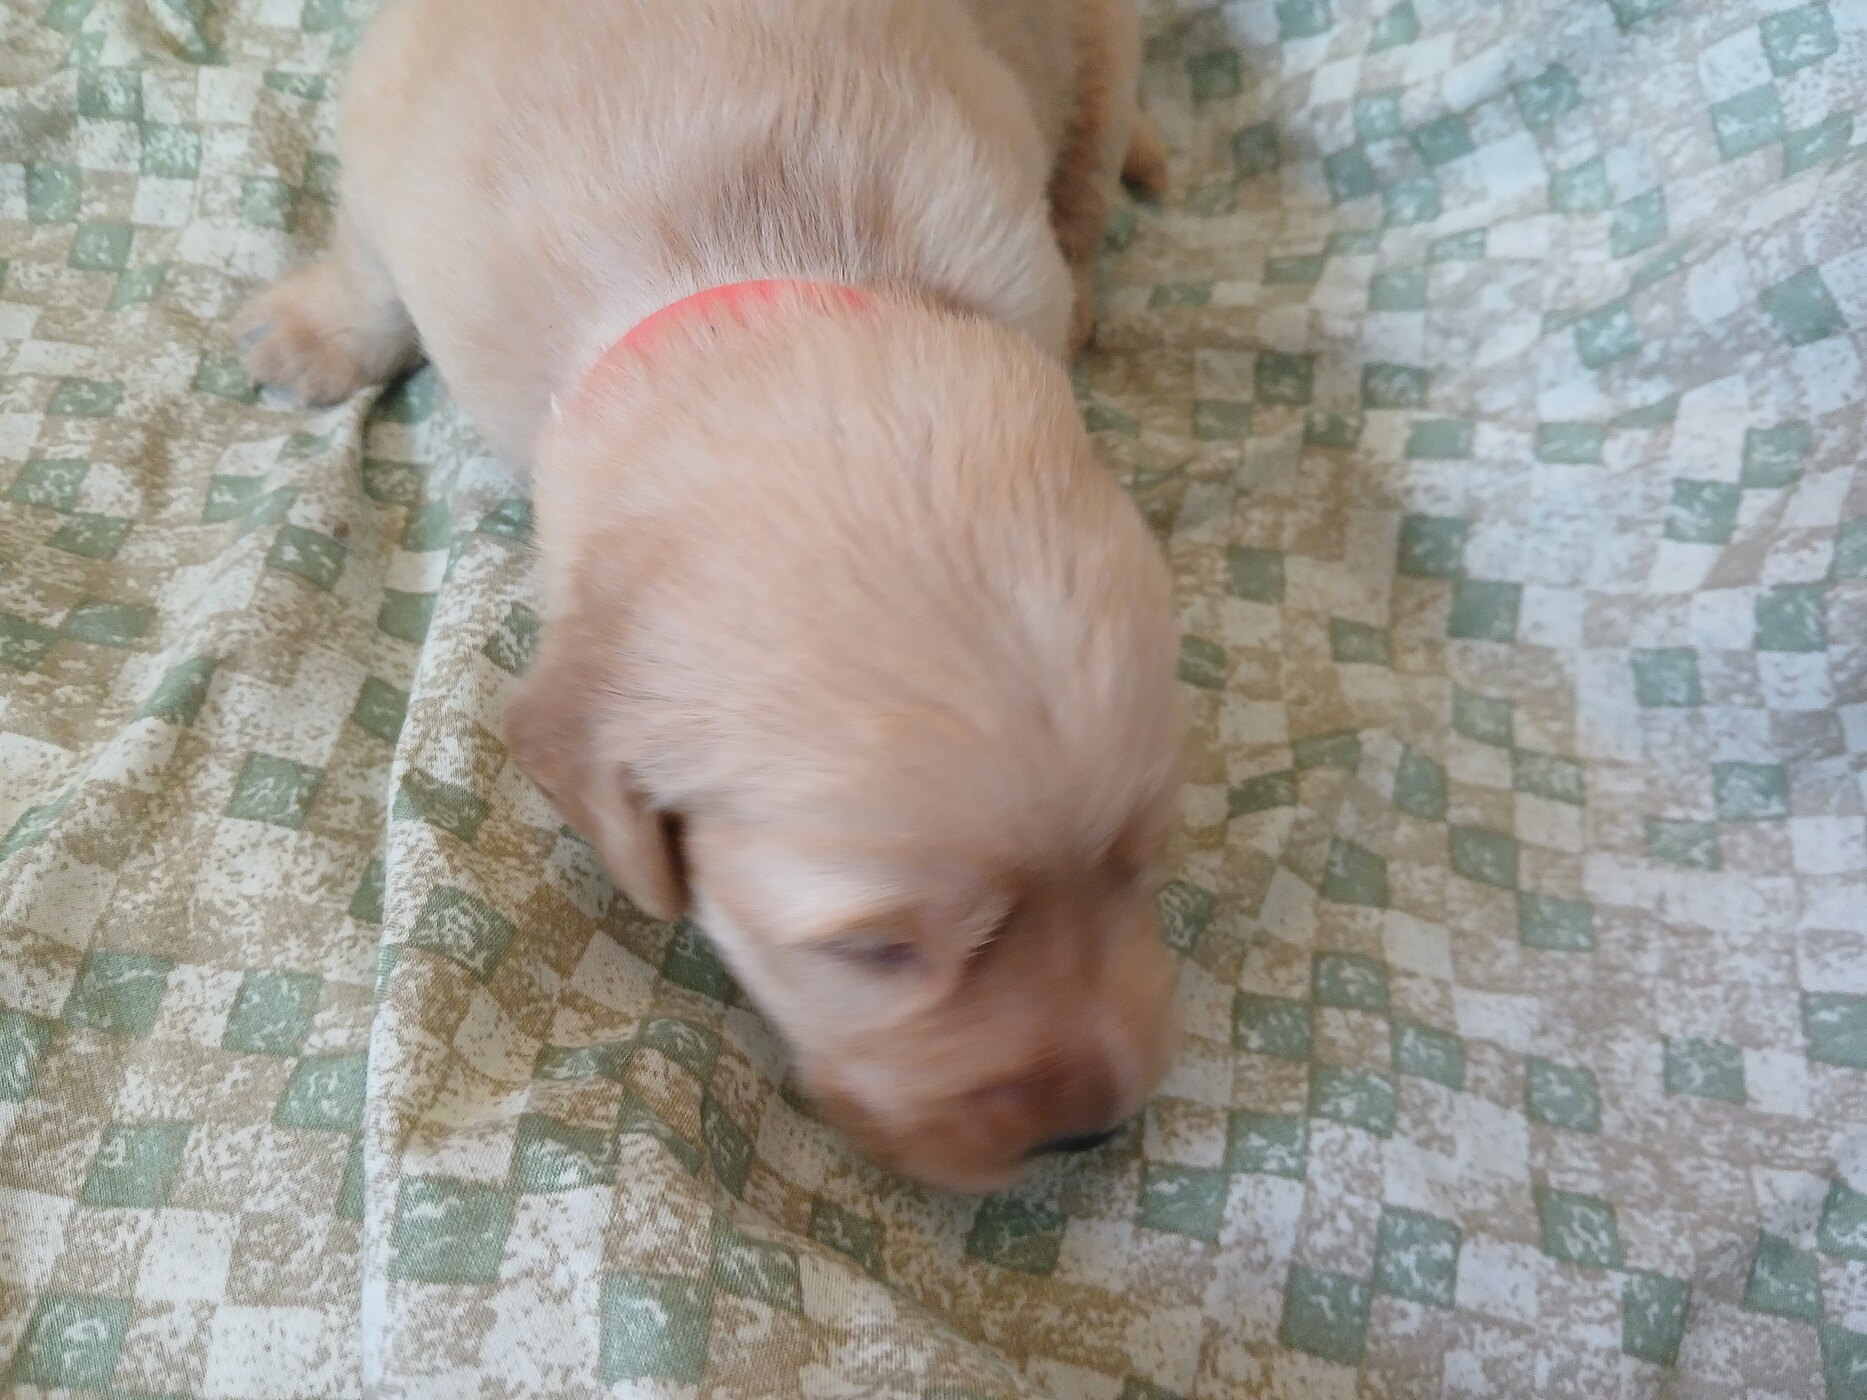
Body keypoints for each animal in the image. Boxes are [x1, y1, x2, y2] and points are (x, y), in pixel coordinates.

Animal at [237, 0, 1183, 1192]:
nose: (1089, 1131)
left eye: (1143, 862)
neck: (747, 259)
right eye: (872, 949)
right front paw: (318, 334)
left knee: (1090, 184)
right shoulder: (391, 143)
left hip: (1102, 56)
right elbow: (366, 264)